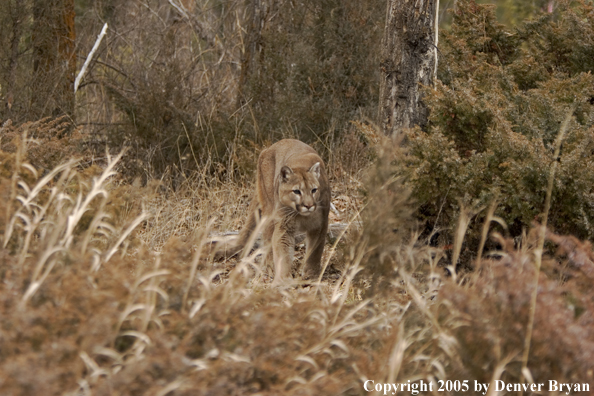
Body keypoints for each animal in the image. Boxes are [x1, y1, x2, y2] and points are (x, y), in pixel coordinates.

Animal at [228, 139, 328, 284]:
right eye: (296, 191)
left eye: (314, 190)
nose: (308, 205)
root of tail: (269, 147)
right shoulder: (284, 227)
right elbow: (283, 252)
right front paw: (284, 279)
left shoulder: (320, 226)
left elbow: (315, 252)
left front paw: (311, 275)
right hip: (270, 211)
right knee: (267, 239)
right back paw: (269, 267)